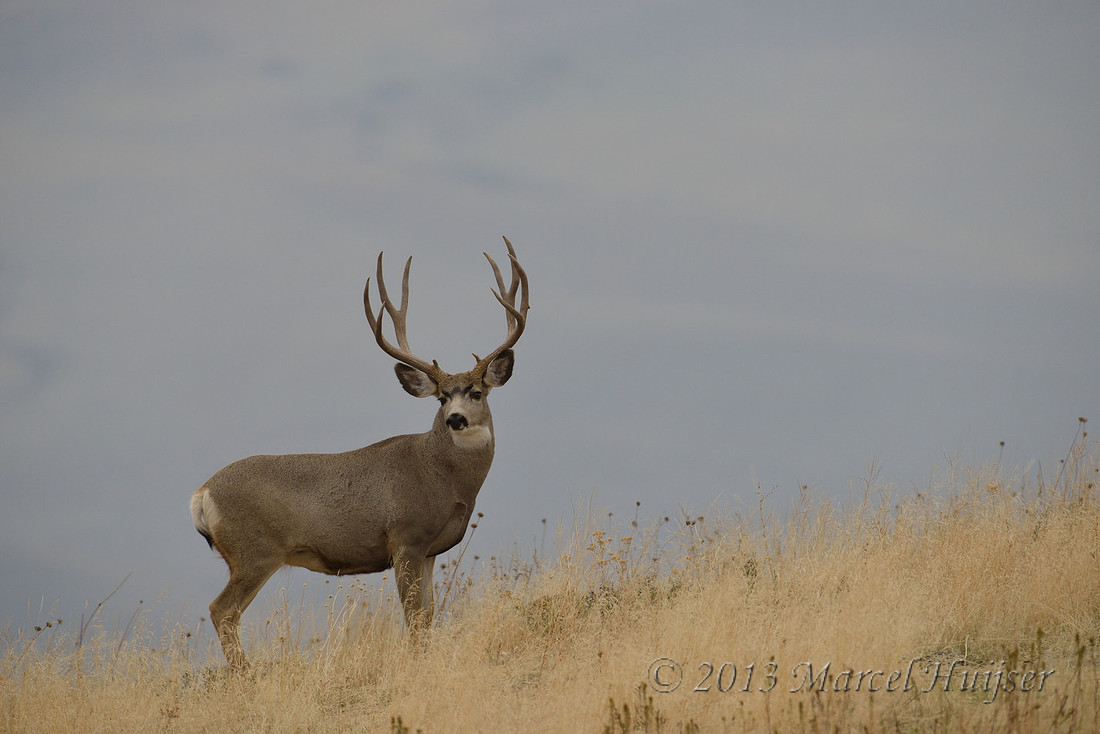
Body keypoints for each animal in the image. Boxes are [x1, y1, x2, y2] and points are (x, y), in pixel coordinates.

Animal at [190, 237, 529, 670]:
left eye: (477, 392)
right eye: (440, 398)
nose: (455, 419)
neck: (443, 477)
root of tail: (202, 493)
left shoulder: (431, 549)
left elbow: (429, 615)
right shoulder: (404, 537)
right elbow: (413, 616)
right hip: (255, 550)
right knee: (222, 609)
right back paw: (245, 674)